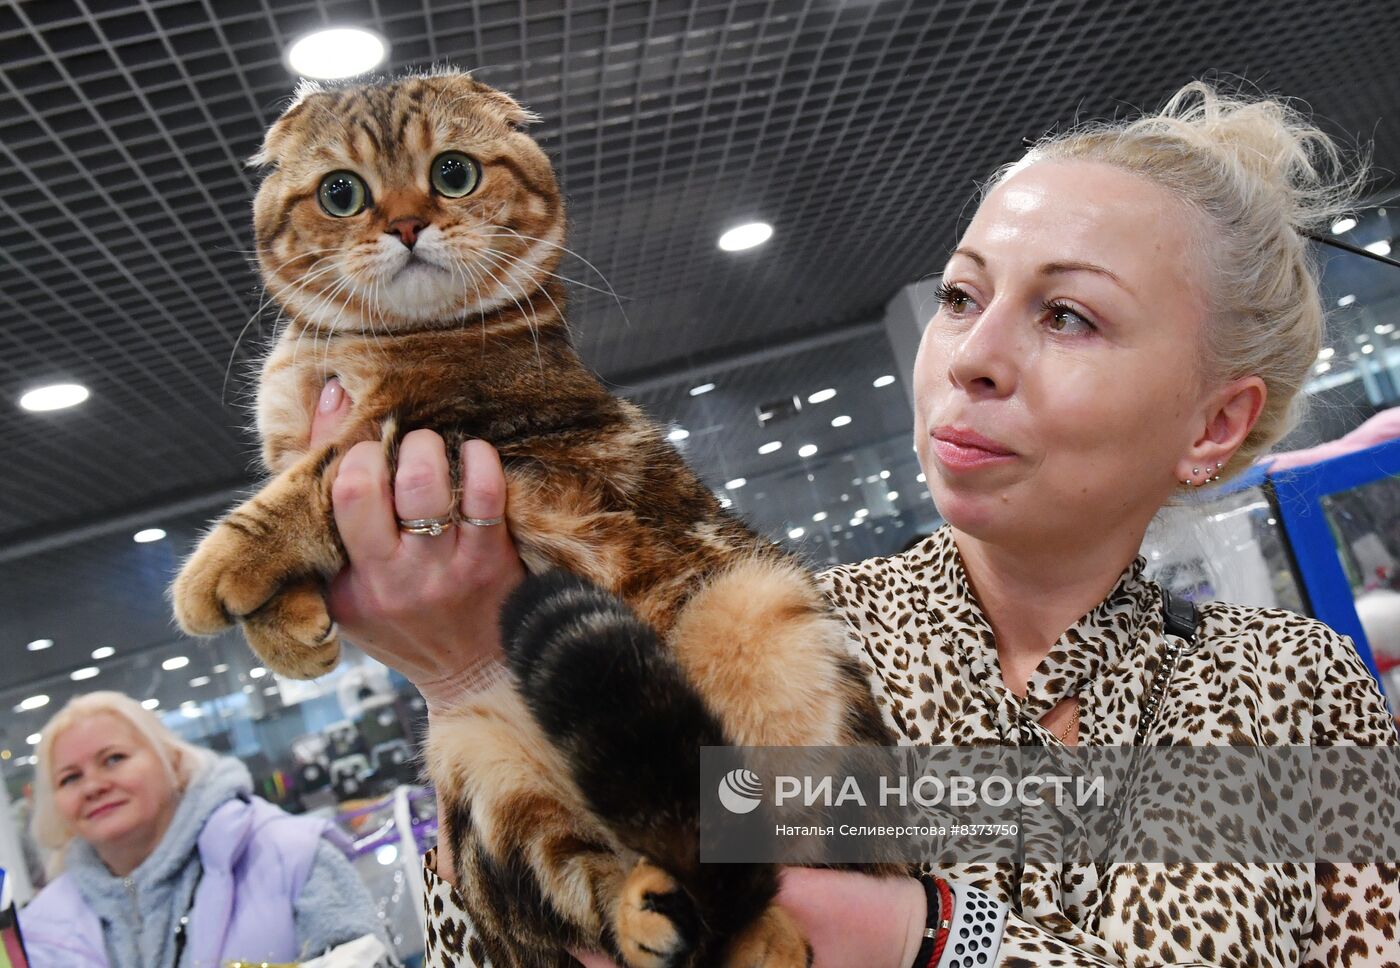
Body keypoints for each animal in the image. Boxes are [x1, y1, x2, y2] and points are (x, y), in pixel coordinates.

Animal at [172, 70, 896, 968]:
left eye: (452, 173)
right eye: (342, 193)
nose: (406, 224)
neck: (339, 351)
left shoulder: (437, 428)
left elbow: (303, 487)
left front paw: (215, 573)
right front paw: (293, 632)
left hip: (756, 613)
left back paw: (765, 934)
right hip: (484, 776)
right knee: (589, 886)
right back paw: (648, 913)